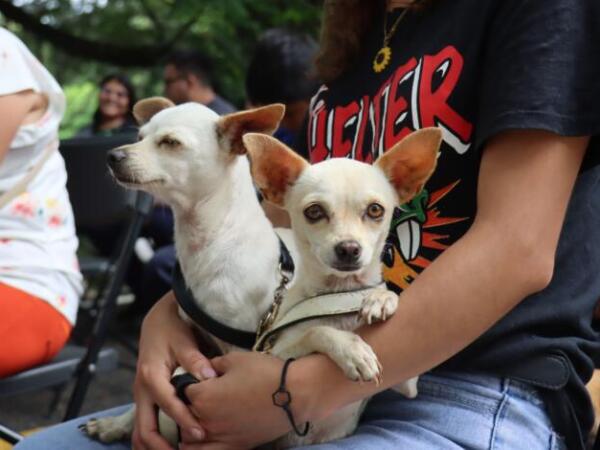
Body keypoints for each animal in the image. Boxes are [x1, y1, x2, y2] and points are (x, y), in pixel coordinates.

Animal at [83, 98, 292, 442]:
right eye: (139, 136)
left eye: (170, 143)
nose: (112, 155)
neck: (209, 243)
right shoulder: (197, 337)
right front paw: (120, 423)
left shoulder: (243, 351)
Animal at [244, 127, 440, 450]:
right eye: (314, 212)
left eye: (375, 210)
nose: (348, 248)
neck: (337, 296)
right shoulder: (274, 355)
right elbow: (316, 330)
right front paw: (352, 350)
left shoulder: (407, 383)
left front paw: (381, 298)